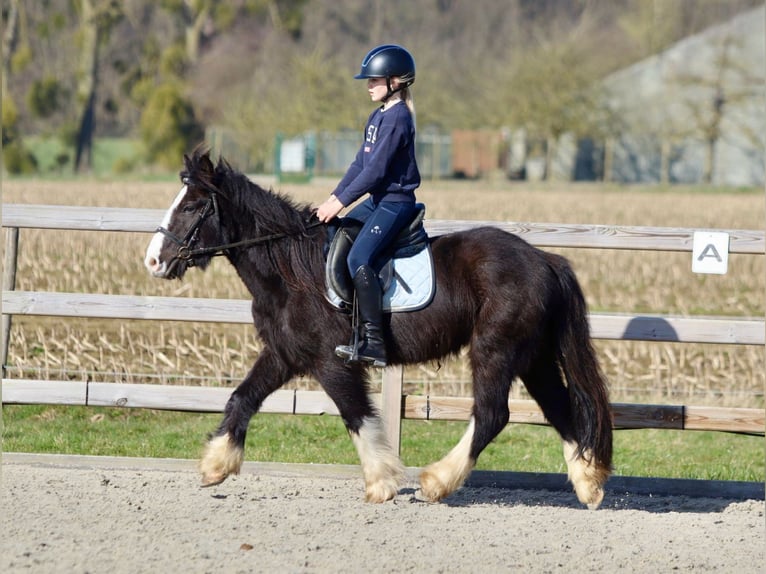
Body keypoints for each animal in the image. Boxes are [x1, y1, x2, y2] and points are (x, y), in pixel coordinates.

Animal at [142, 151, 612, 510]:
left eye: (191, 206)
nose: (153, 261)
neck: (290, 269)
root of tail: (545, 260)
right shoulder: (283, 354)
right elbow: (242, 398)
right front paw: (215, 465)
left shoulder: (330, 362)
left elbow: (357, 415)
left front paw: (382, 482)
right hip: (534, 358)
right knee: (560, 409)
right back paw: (589, 485)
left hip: (496, 350)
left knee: (493, 414)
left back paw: (436, 481)